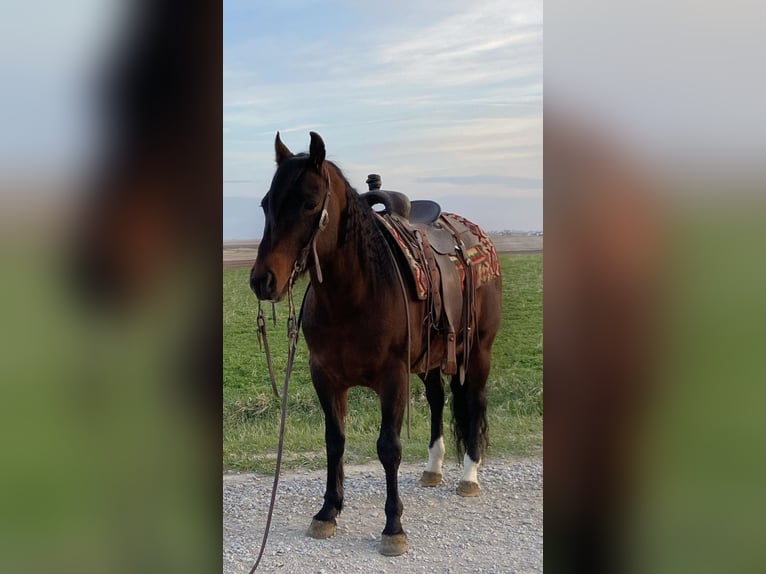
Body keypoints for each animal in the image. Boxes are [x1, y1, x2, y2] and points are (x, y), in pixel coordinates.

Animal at [250, 132, 504, 560]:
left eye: (308, 203)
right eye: (266, 204)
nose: (262, 280)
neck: (355, 293)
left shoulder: (393, 377)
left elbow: (389, 448)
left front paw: (393, 526)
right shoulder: (325, 377)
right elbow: (334, 441)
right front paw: (327, 512)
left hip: (478, 350)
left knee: (476, 401)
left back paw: (469, 474)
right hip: (432, 357)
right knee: (438, 400)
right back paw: (433, 468)